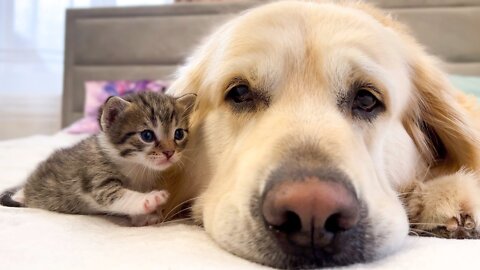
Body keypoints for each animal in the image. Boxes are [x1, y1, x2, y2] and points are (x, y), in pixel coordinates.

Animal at [0, 92, 195, 227]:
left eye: (178, 134)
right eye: (147, 135)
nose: (170, 152)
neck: (136, 166)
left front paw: (144, 216)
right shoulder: (96, 176)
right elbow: (116, 195)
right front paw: (149, 200)